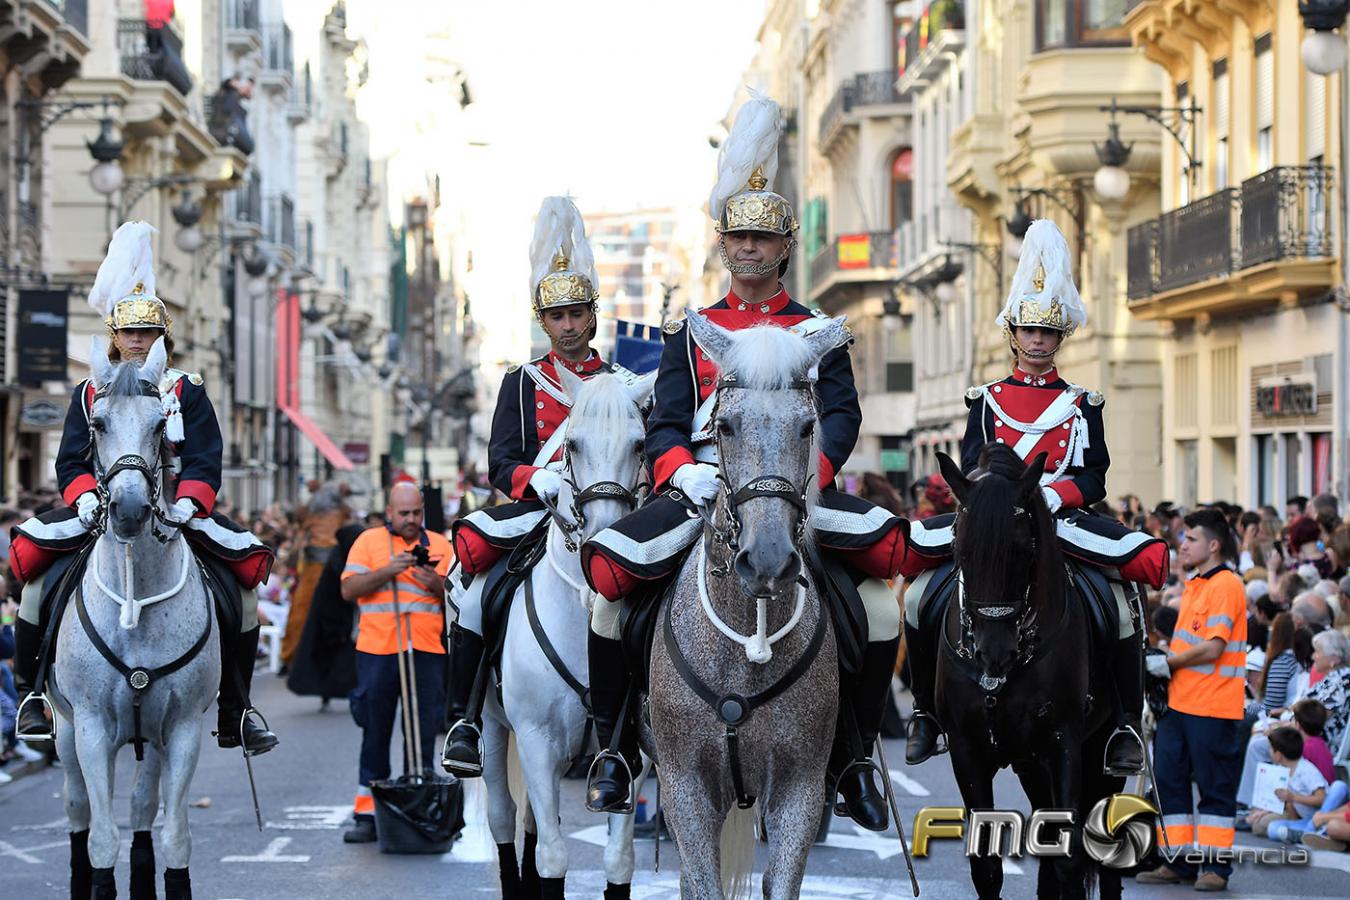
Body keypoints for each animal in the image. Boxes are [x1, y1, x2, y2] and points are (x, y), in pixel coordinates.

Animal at [49, 337, 218, 900]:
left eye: (160, 425)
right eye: (98, 423)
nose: (127, 510)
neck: (135, 598)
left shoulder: (182, 728)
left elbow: (175, 836)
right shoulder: (91, 727)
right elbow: (101, 837)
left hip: (153, 739)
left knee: (143, 810)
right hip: (63, 731)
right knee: (77, 810)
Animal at [483, 367, 656, 900]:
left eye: (640, 444)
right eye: (572, 445)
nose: (600, 538)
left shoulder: (630, 754)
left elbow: (618, 860)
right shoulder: (536, 741)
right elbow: (554, 858)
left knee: (532, 825)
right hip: (494, 729)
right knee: (505, 817)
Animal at [934, 447, 1123, 900]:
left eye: (1024, 550)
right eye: (961, 549)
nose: (994, 653)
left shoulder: (1064, 742)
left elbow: (1071, 857)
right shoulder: (967, 749)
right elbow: (986, 867)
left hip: (1102, 750)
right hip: (1029, 763)